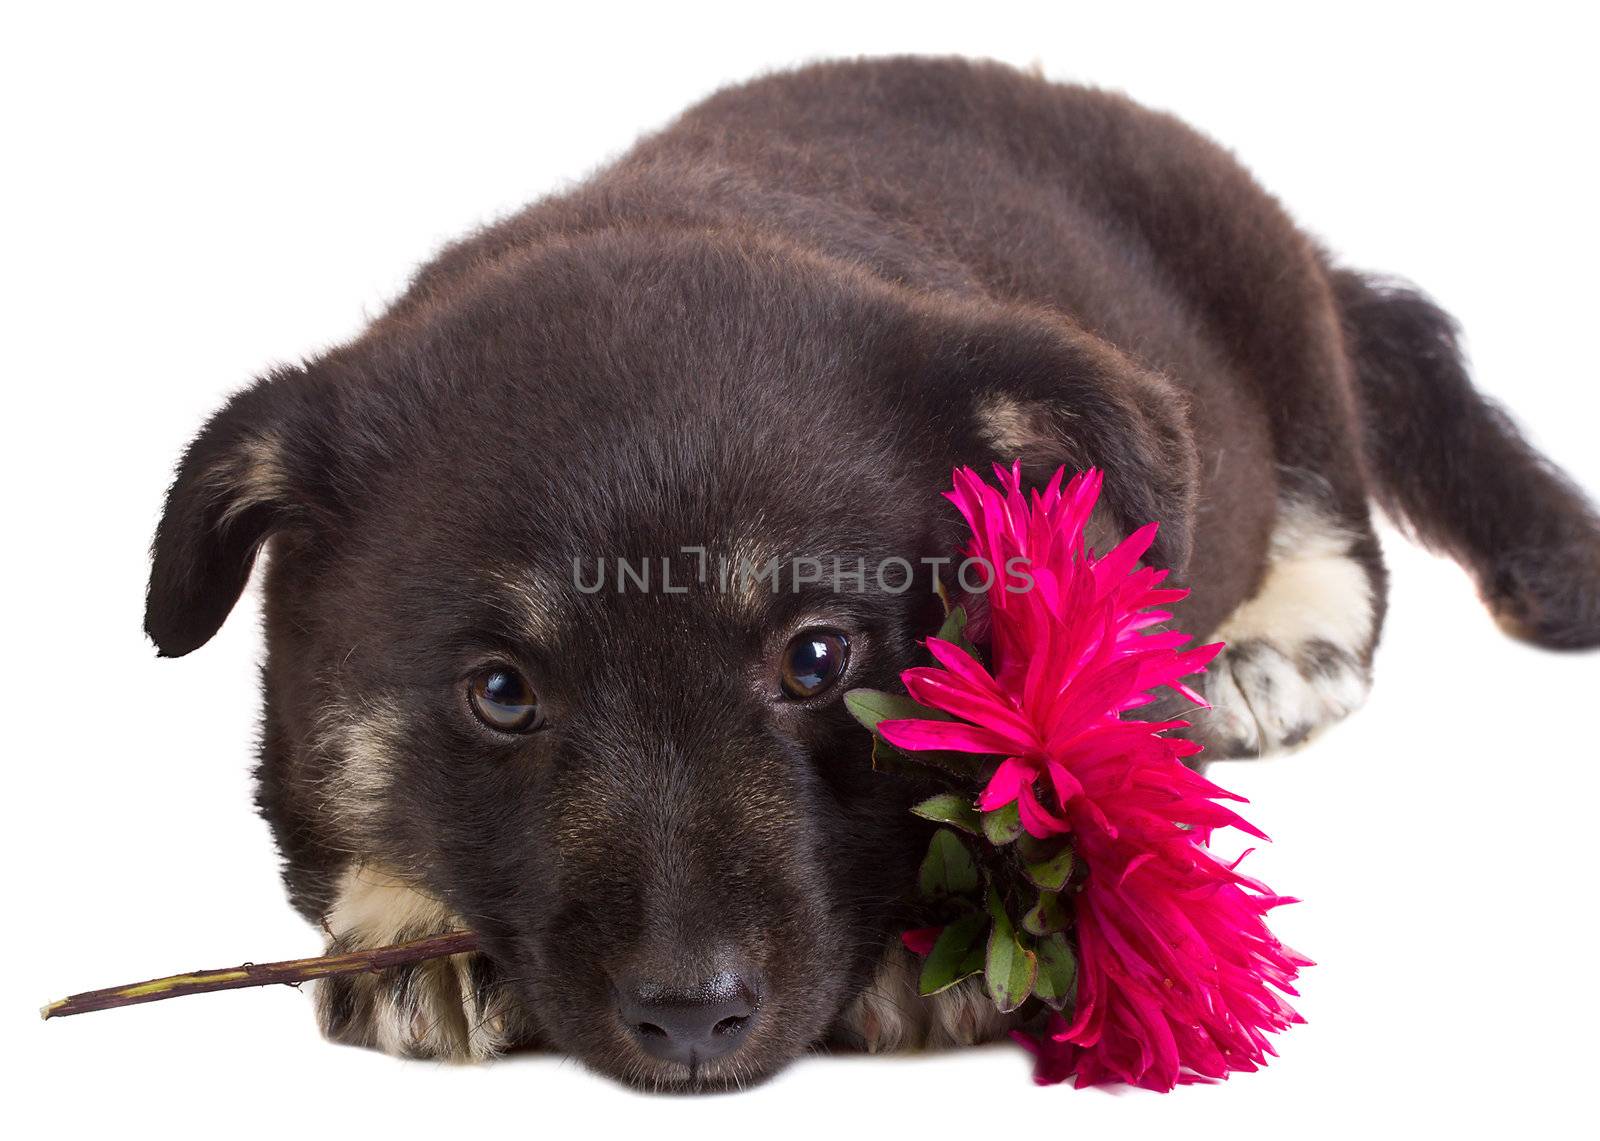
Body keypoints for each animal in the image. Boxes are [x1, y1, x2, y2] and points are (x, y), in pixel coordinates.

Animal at [150, 58, 1600, 1088]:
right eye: (501, 694)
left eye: (816, 658)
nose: (691, 1021)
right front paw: (412, 924)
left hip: (1275, 330)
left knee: (1338, 527)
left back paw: (1266, 649)